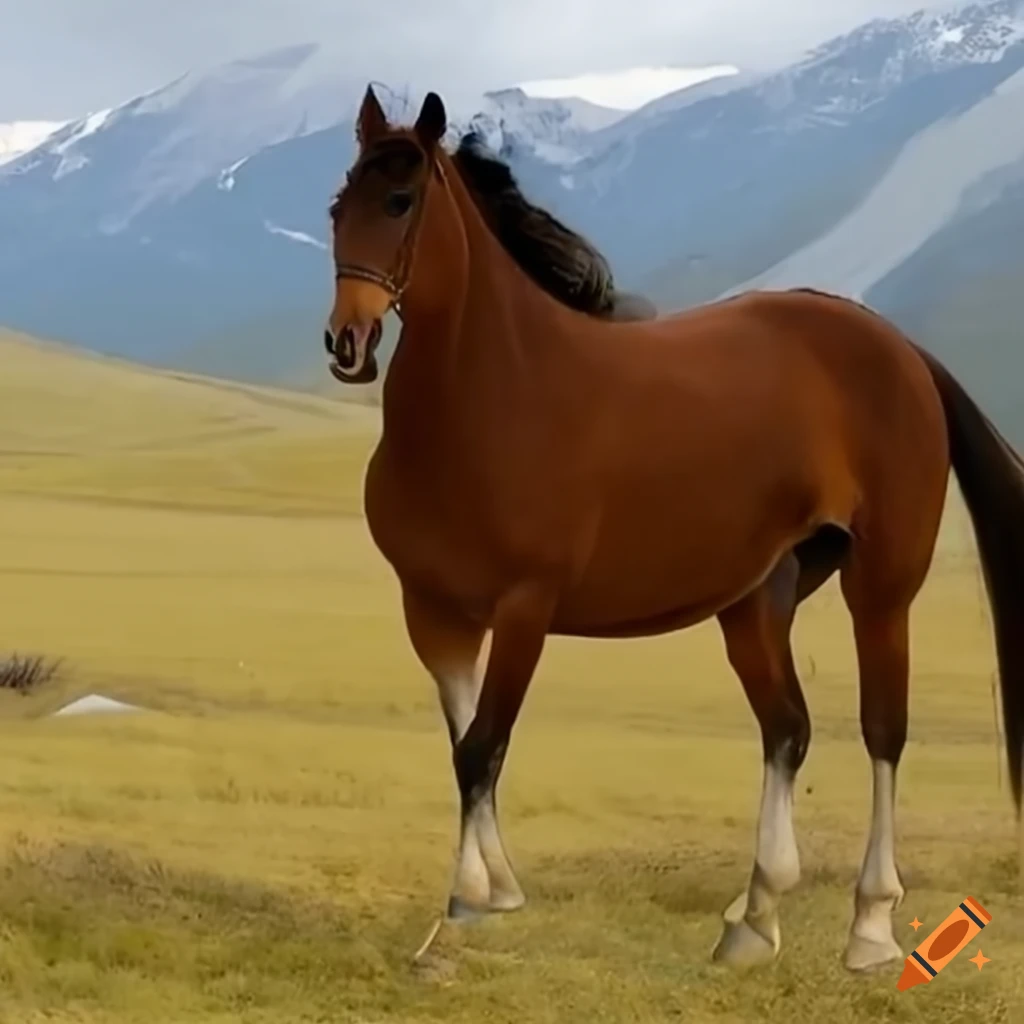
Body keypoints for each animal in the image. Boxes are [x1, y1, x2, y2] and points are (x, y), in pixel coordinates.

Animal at [323, 85, 1024, 971]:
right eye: (338, 206)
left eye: (400, 201)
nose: (346, 343)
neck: (492, 393)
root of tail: (900, 350)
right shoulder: (435, 613)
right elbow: (463, 747)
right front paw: (491, 890)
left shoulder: (524, 610)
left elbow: (484, 746)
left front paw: (461, 913)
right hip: (757, 601)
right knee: (787, 730)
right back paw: (754, 920)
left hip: (882, 589)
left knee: (882, 732)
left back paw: (870, 927)